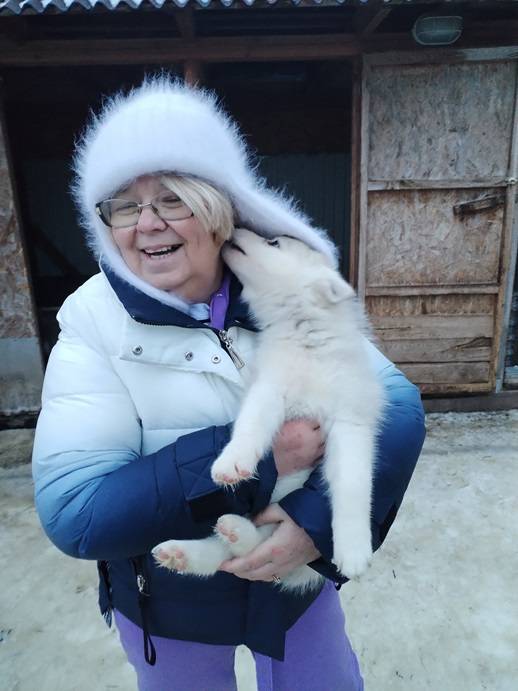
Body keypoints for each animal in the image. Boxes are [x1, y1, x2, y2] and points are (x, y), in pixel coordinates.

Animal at [153, 228, 384, 592]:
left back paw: (231, 535)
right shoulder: (270, 389)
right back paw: (188, 551)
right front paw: (232, 461)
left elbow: (352, 484)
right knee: (227, 552)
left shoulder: (350, 420)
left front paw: (354, 550)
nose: (234, 230)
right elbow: (251, 425)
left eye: (274, 242)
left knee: (256, 545)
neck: (305, 334)